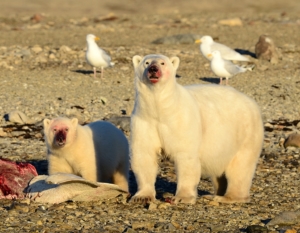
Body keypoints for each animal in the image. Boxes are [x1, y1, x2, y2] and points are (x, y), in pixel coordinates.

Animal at [130, 54, 264, 204]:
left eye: (162, 63)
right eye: (146, 63)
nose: (153, 69)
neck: (160, 110)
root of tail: (252, 103)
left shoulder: (181, 121)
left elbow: (186, 157)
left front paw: (182, 197)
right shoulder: (145, 121)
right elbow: (144, 155)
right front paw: (142, 196)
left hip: (246, 133)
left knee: (240, 167)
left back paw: (226, 197)